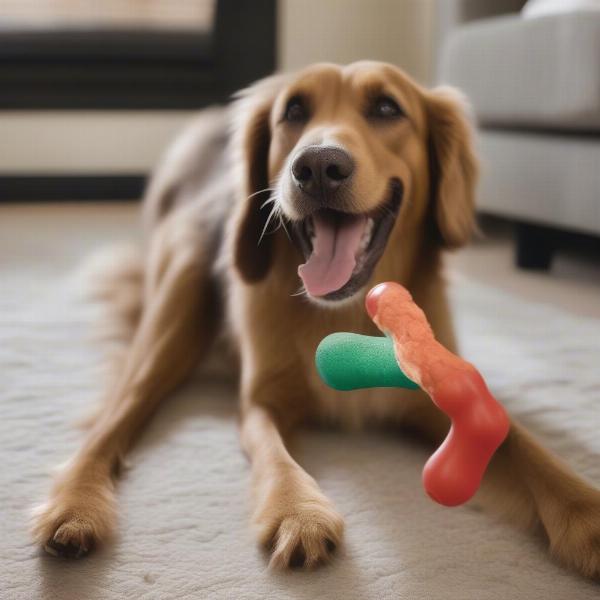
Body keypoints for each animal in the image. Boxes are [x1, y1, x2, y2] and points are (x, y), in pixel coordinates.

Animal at [31, 61, 600, 576]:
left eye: (387, 108)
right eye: (294, 111)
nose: (319, 166)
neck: (346, 311)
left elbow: (527, 449)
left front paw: (586, 513)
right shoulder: (261, 402)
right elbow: (275, 455)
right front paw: (298, 513)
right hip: (176, 309)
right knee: (117, 416)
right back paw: (75, 505)